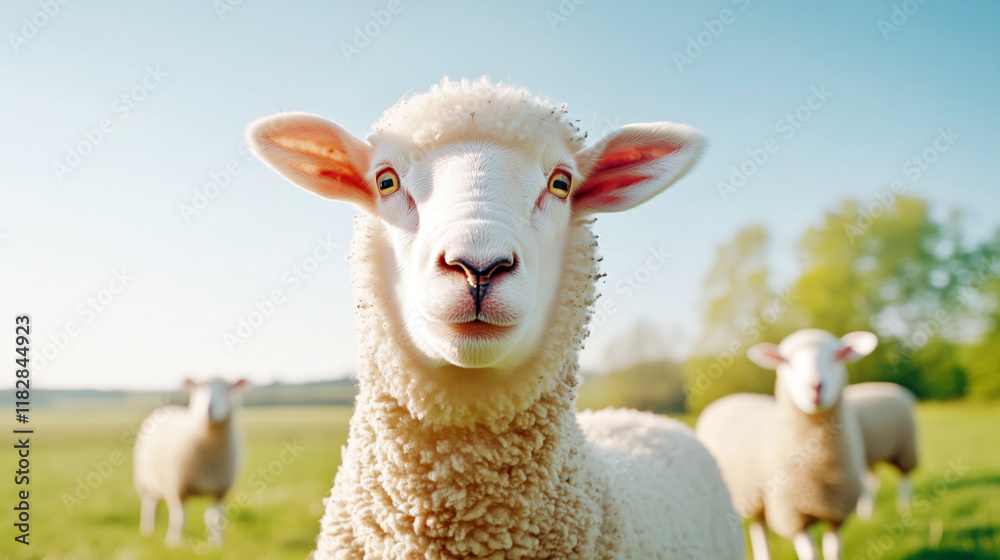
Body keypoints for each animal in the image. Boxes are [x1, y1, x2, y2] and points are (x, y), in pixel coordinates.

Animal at [133, 377, 249, 546]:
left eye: (226, 389)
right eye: (200, 389)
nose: (209, 409)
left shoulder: (219, 490)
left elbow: (216, 518)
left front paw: (218, 544)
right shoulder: (178, 488)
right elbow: (179, 518)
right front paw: (174, 543)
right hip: (147, 483)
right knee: (149, 507)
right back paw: (148, 531)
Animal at [696, 328, 879, 560]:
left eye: (837, 356)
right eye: (786, 361)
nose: (815, 387)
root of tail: (730, 398)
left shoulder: (836, 513)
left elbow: (834, 553)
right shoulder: (793, 515)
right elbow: (810, 554)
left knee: (759, 526)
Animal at [843, 382, 918, 520]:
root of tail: (903, 391)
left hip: (904, 448)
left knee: (904, 474)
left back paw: (904, 505)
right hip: (869, 456)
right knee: (873, 481)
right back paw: (868, 511)